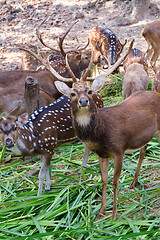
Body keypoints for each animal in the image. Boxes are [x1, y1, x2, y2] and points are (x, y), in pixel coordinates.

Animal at [51, 39, 160, 219]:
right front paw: (101, 211)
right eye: (72, 93)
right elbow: (104, 180)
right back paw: (134, 182)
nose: (83, 101)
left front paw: (114, 214)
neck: (101, 133)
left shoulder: (119, 149)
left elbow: (115, 182)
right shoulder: (101, 154)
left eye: (89, 91)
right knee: (143, 150)